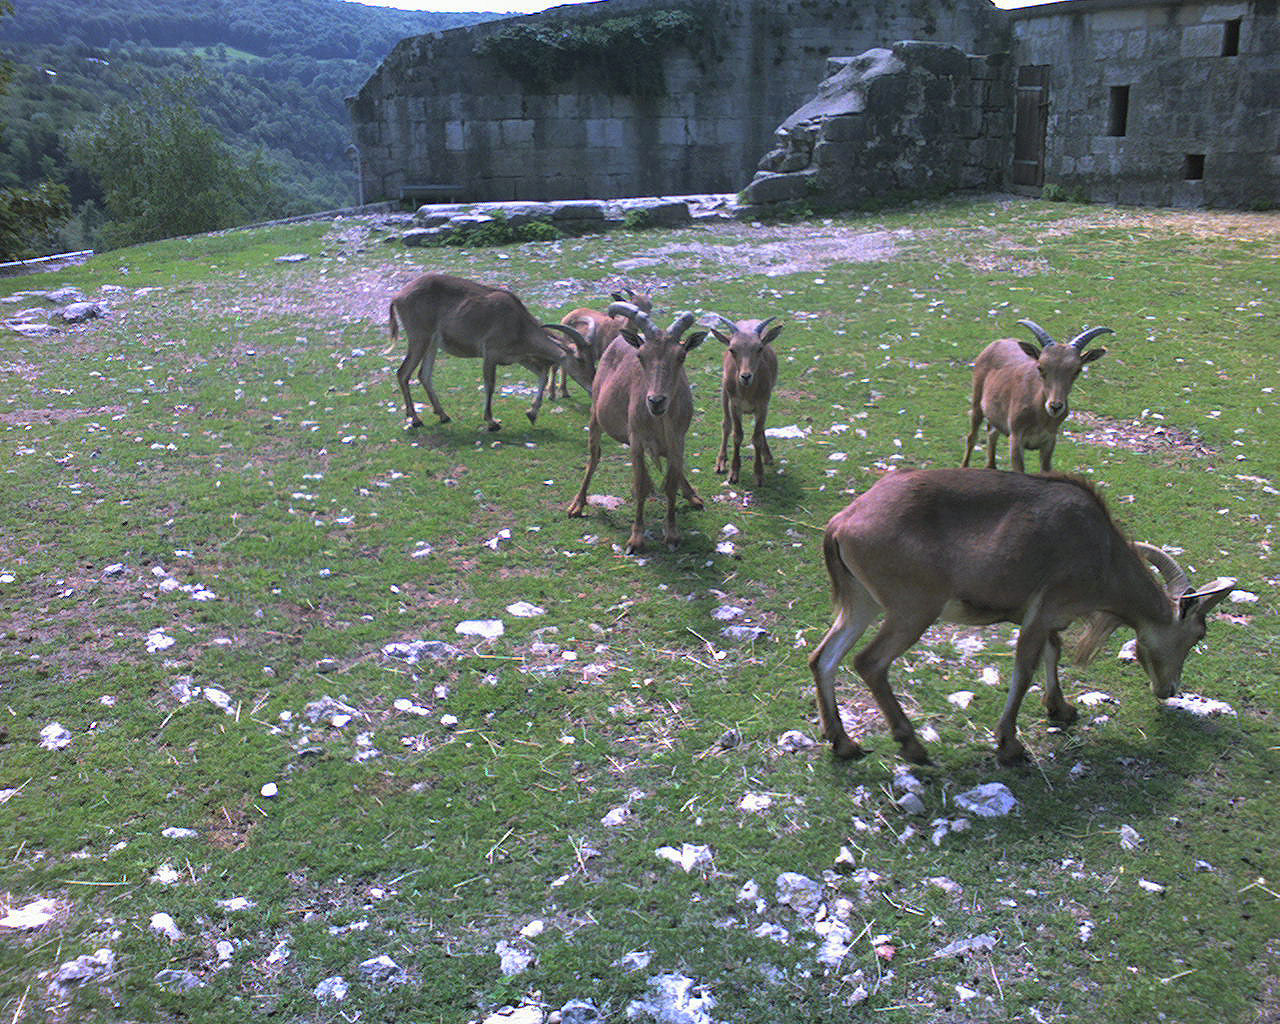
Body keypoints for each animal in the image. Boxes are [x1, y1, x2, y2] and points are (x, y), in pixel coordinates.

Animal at [389, 270, 593, 430]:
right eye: (580, 359)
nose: (592, 387)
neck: (519, 323)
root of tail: (398, 297)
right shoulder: (491, 354)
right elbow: (490, 385)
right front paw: (492, 422)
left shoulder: (518, 356)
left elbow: (541, 372)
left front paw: (532, 414)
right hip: (419, 338)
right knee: (403, 373)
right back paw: (415, 419)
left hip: (432, 344)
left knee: (424, 374)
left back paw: (443, 415)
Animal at [570, 299, 711, 555]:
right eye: (641, 356)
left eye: (681, 356)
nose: (656, 401)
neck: (660, 421)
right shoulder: (636, 440)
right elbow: (641, 485)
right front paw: (636, 539)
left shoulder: (678, 440)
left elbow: (670, 483)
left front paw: (672, 534)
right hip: (596, 416)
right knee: (594, 458)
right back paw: (577, 504)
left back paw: (692, 496)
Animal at [706, 313, 783, 486]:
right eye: (732, 349)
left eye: (759, 348)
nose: (745, 376)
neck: (748, 393)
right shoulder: (735, 404)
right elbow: (737, 435)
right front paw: (733, 473)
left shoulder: (763, 404)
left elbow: (757, 436)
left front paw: (759, 474)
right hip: (724, 392)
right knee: (726, 424)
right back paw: (721, 462)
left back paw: (767, 456)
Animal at [803, 468, 1233, 762]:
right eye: (1198, 634)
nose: (1170, 690)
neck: (1102, 553)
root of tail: (841, 524)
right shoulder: (1044, 611)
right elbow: (1025, 668)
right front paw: (1010, 745)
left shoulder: (1040, 616)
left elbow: (1052, 651)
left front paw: (1061, 708)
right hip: (912, 610)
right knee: (869, 662)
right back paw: (911, 745)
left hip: (862, 603)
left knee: (823, 657)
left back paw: (843, 743)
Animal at [962, 317, 1111, 473]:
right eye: (1040, 367)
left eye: (1077, 370)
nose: (1055, 406)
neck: (1039, 415)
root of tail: (996, 343)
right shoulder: (1016, 437)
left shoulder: (1049, 441)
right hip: (977, 399)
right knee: (972, 437)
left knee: (992, 433)